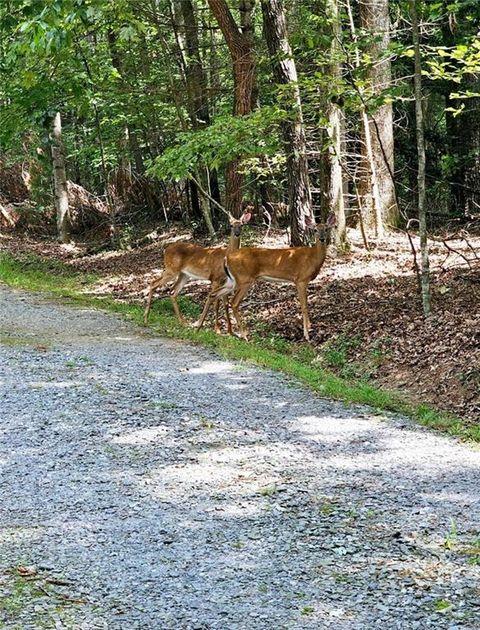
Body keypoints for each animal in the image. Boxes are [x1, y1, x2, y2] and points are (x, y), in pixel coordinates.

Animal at [212, 214, 336, 344]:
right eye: (315, 230)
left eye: (326, 229)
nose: (322, 239)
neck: (312, 258)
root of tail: (227, 258)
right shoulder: (301, 279)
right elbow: (304, 306)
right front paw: (307, 335)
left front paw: (310, 327)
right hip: (244, 279)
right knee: (234, 302)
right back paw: (244, 335)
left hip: (233, 280)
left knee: (215, 294)